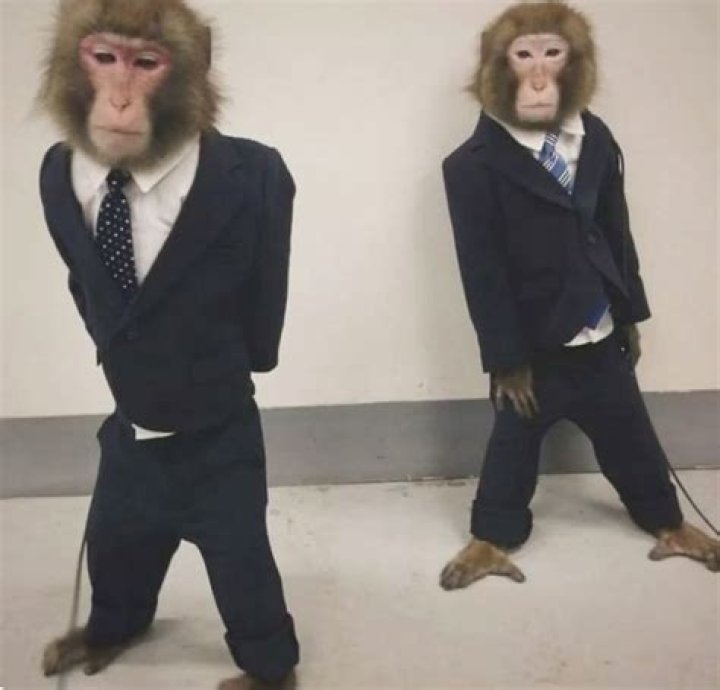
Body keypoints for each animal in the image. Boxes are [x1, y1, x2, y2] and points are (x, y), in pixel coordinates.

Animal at [37, 1, 299, 687]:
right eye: (105, 58)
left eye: (147, 63)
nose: (122, 99)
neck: (129, 174)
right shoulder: (54, 176)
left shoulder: (272, 185)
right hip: (122, 480)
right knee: (117, 550)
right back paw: (106, 633)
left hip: (227, 466)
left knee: (242, 564)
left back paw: (268, 670)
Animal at [440, 0, 720, 591]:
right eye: (522, 55)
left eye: (552, 52)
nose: (539, 80)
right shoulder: (464, 179)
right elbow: (483, 262)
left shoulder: (604, 146)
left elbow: (613, 220)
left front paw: (633, 328)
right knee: (512, 448)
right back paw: (487, 544)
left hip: (609, 383)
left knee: (632, 438)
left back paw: (673, 526)